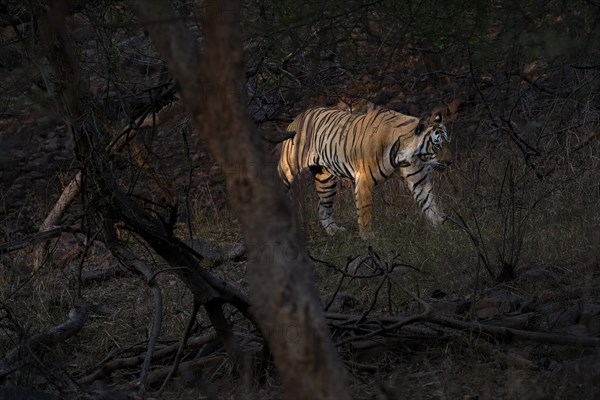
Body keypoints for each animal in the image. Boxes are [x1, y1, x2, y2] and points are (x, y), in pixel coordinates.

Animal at [276, 105, 450, 238]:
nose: (449, 162)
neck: (406, 155)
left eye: (447, 143)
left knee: (322, 208)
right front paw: (368, 237)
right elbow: (365, 209)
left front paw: (442, 228)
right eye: (436, 145)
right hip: (288, 168)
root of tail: (298, 117)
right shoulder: (364, 179)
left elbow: (430, 202)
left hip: (326, 180)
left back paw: (334, 231)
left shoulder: (418, 178)